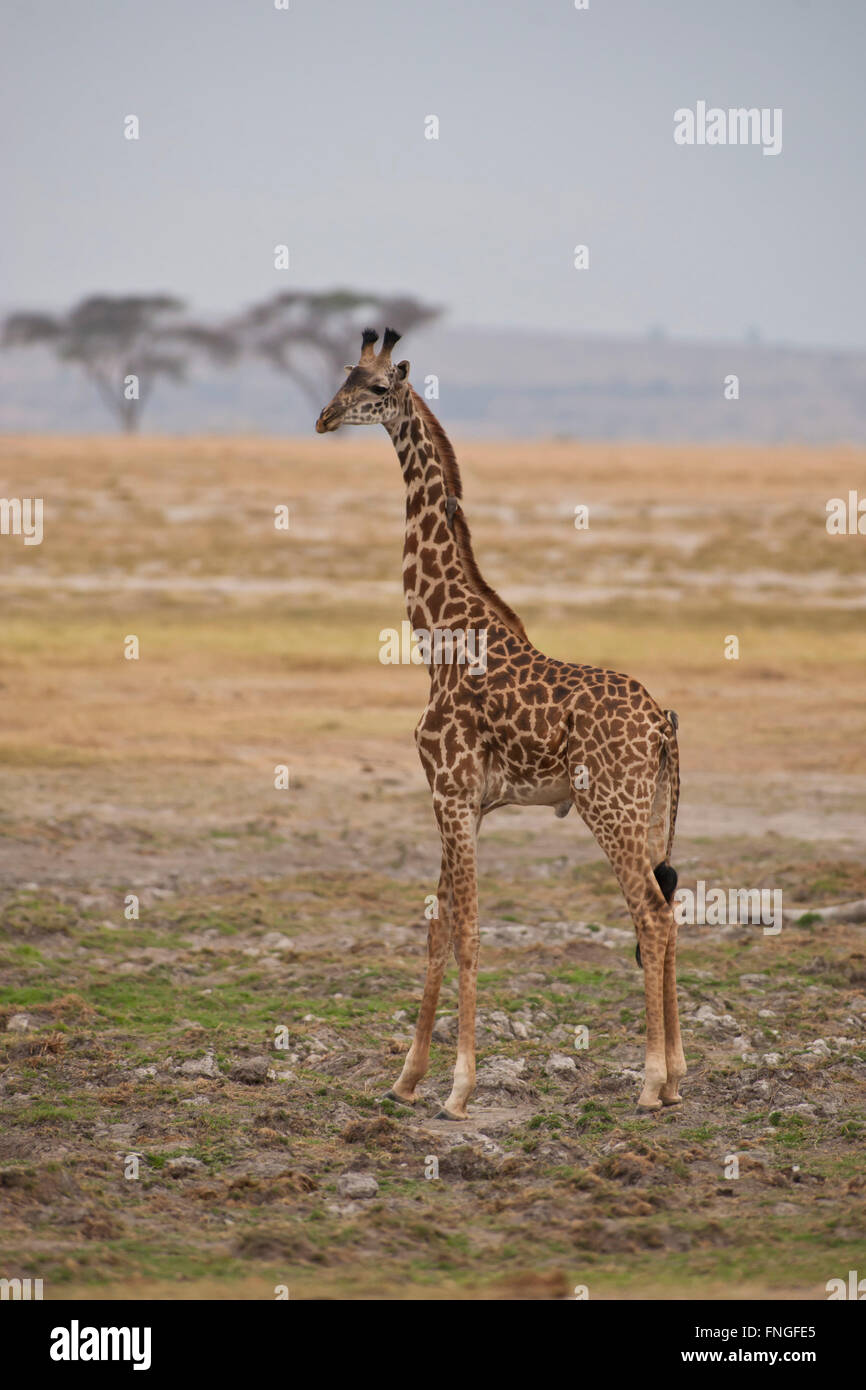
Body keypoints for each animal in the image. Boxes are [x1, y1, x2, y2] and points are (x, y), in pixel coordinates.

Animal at [315, 325, 686, 1117]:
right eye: (343, 376)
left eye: (376, 389)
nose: (324, 418)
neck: (438, 637)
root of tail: (664, 724)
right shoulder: (466, 803)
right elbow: (435, 925)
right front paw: (405, 1079)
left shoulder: (450, 791)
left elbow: (467, 932)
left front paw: (459, 1089)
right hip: (647, 811)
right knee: (670, 910)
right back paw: (675, 1078)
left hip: (609, 806)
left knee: (650, 913)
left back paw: (649, 1083)